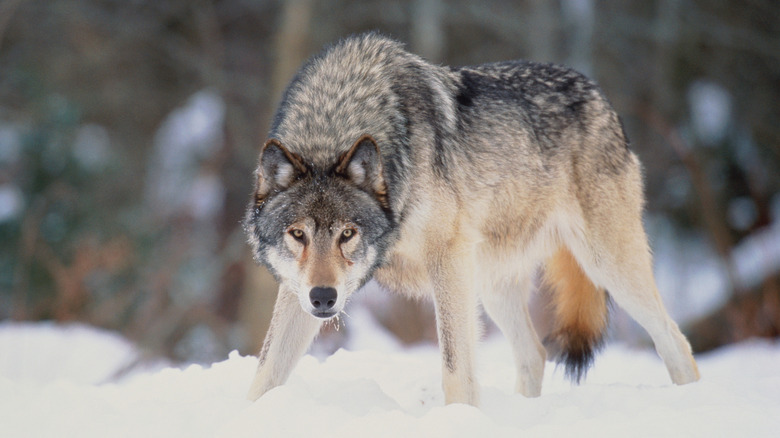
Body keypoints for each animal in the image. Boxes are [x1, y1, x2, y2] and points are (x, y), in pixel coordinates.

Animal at [244, 32, 700, 406]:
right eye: (298, 234)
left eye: (348, 234)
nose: (324, 298)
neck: (336, 121)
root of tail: (598, 92)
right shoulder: (296, 288)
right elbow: (265, 372)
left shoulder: (447, 260)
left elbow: (455, 369)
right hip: (492, 284)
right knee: (535, 355)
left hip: (606, 266)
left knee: (676, 342)